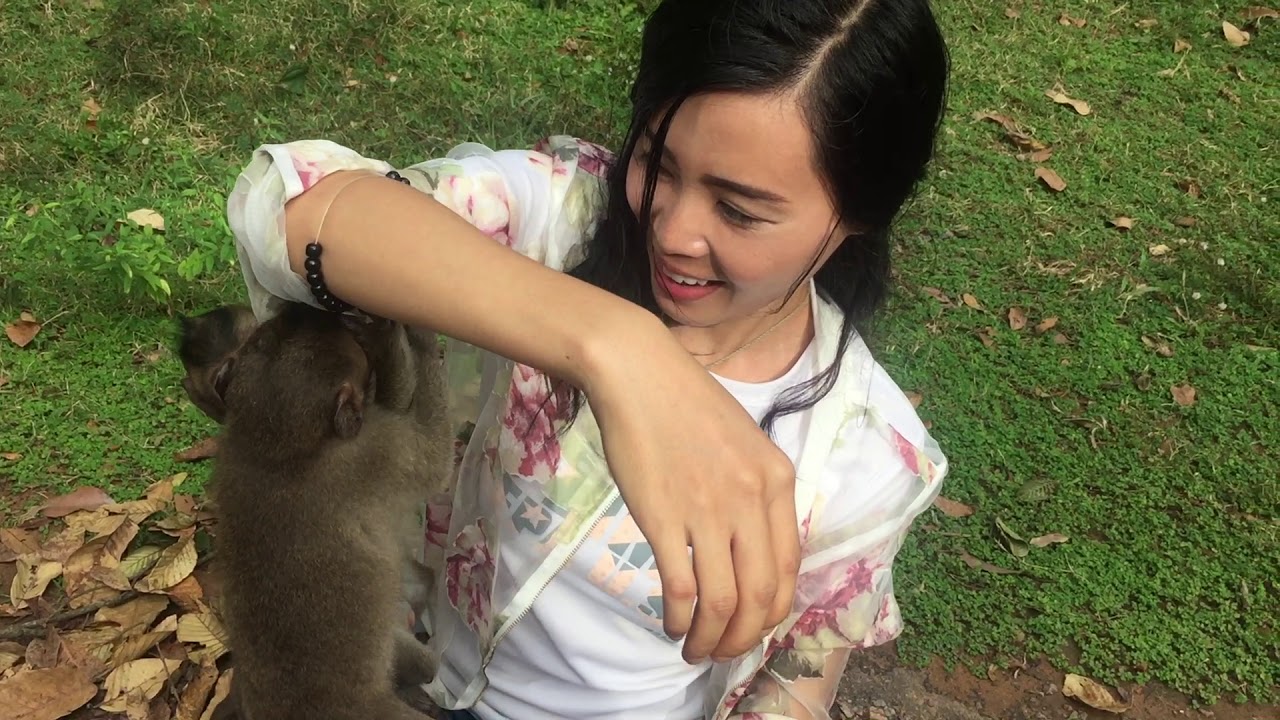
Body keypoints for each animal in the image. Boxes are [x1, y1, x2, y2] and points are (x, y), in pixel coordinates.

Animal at [188, 302, 451, 720]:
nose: (297, 307)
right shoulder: (377, 452)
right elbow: (434, 456)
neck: (276, 448)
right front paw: (416, 338)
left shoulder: (230, 450)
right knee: (425, 665)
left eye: (267, 334)